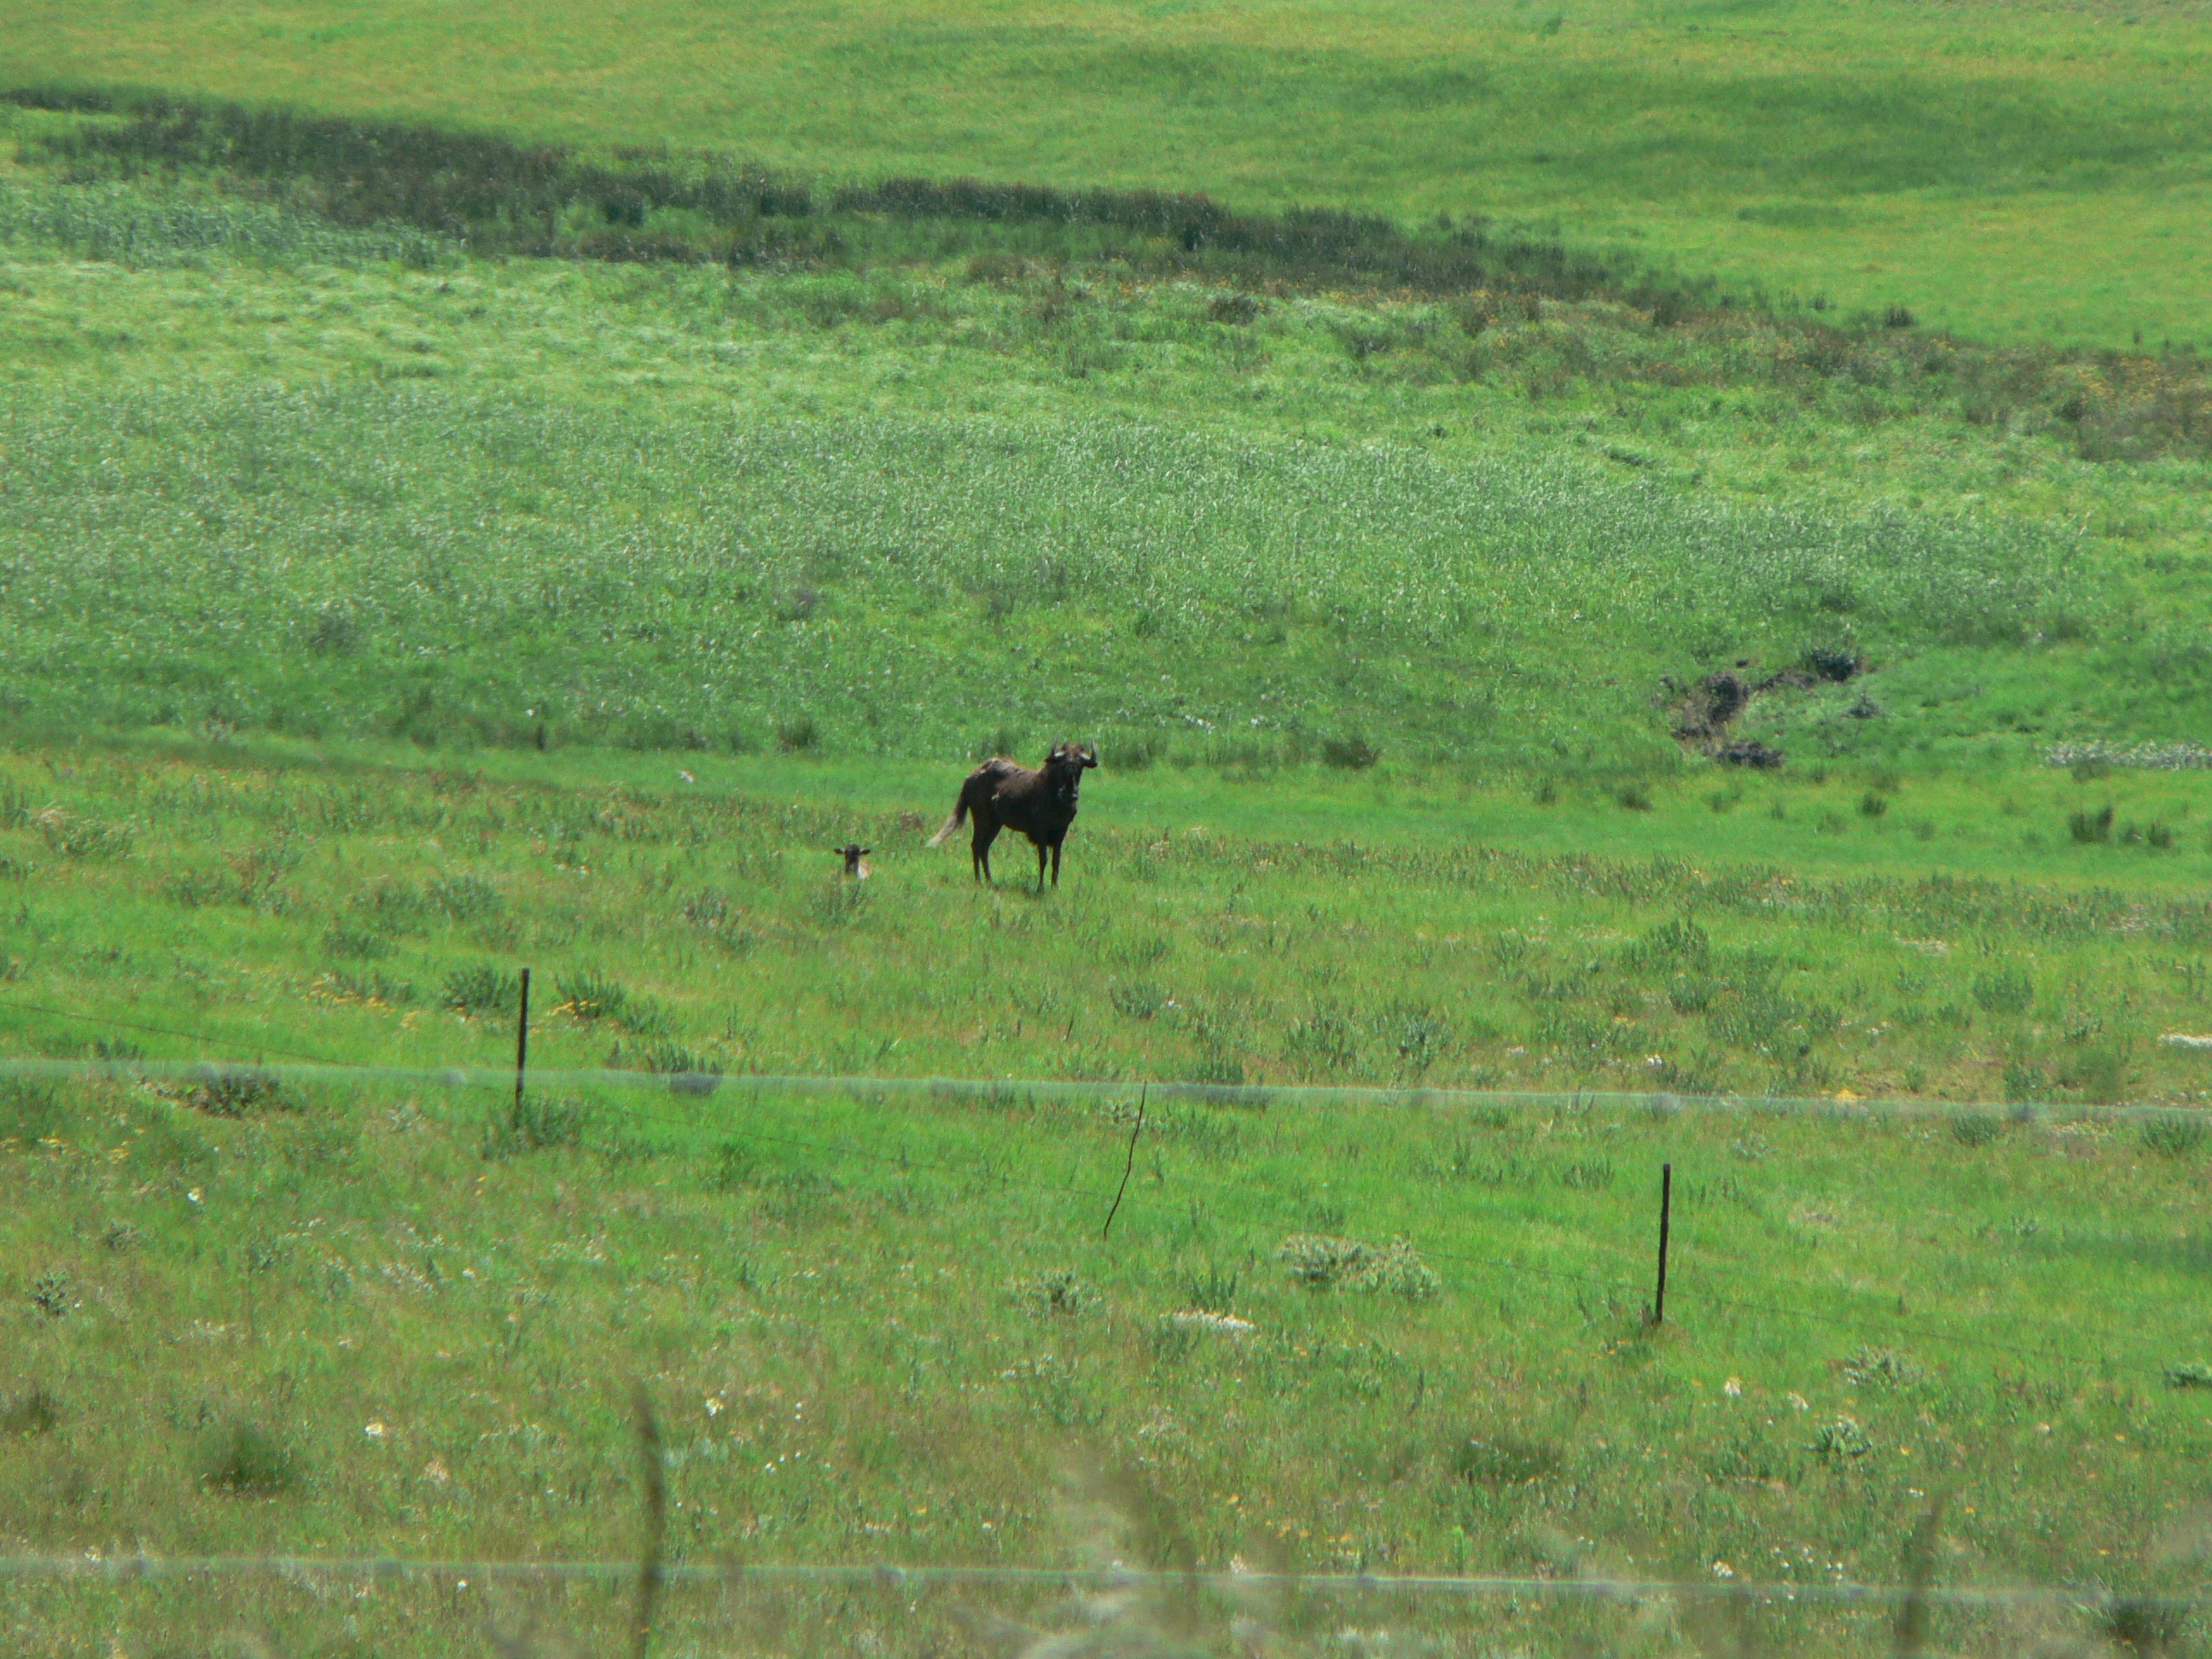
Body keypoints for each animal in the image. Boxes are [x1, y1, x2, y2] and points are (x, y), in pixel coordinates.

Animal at [925, 743, 1096, 889]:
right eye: (1063, 765)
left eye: (1079, 766)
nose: (1071, 793)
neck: (1057, 799)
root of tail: (970, 778)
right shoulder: (1041, 831)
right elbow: (1044, 859)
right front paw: (1040, 888)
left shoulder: (1061, 831)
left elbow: (1056, 861)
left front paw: (1055, 887)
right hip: (981, 818)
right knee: (976, 845)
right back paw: (979, 880)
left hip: (996, 823)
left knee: (984, 847)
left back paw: (990, 879)